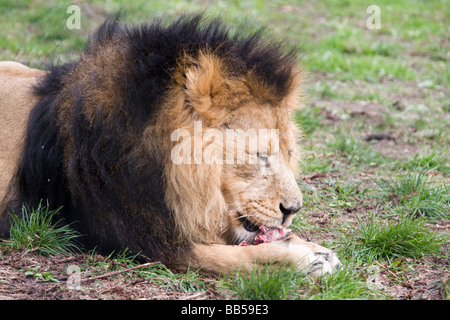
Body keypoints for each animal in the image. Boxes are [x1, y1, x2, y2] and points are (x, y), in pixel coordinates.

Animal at [0, 14, 338, 276]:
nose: (293, 210)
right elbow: (226, 256)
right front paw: (299, 259)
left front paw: (313, 247)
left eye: (290, 154)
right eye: (260, 155)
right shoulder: (124, 234)